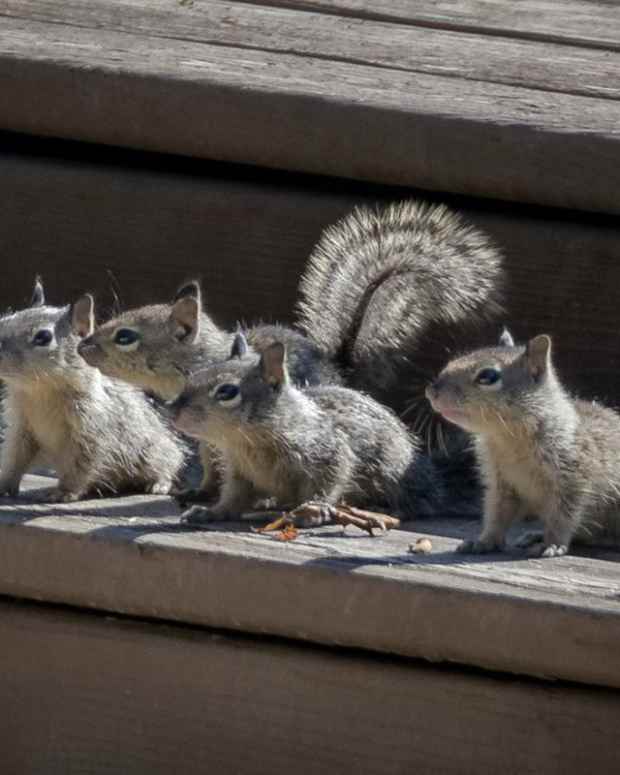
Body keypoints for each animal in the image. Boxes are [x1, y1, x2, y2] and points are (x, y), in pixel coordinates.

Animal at [0, 278, 186, 502]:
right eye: (4, 321)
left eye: (43, 337)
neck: (40, 391)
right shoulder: (22, 429)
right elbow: (15, 458)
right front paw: (4, 485)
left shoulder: (91, 430)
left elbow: (81, 465)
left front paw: (64, 492)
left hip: (155, 451)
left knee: (170, 464)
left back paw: (159, 484)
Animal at [78, 199, 504, 496]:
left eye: (126, 336)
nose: (83, 346)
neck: (200, 361)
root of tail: (340, 365)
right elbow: (211, 463)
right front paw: (202, 490)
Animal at [169, 333, 475, 526]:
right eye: (193, 376)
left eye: (227, 391)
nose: (173, 409)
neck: (248, 441)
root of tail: (433, 478)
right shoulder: (241, 472)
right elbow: (233, 498)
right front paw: (211, 512)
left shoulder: (327, 451)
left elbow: (329, 480)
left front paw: (312, 511)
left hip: (392, 469)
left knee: (418, 502)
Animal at [426, 329, 620, 557]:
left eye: (488, 376)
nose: (431, 391)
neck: (508, 438)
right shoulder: (501, 484)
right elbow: (497, 514)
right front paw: (485, 541)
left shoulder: (573, 478)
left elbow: (563, 517)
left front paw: (552, 544)